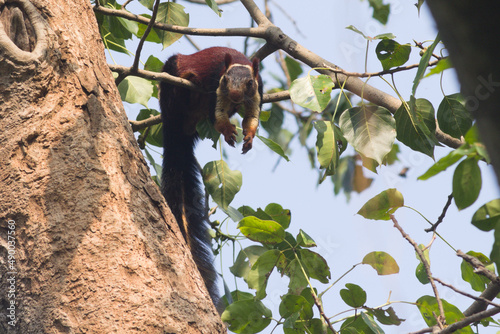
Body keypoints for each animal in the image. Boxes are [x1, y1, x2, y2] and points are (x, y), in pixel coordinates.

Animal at [160, 47, 264, 306]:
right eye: (226, 80)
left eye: (249, 83)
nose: (235, 95)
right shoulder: (214, 89)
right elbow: (216, 116)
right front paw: (227, 130)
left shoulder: (257, 94)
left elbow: (252, 118)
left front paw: (249, 137)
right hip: (171, 84)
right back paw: (187, 80)